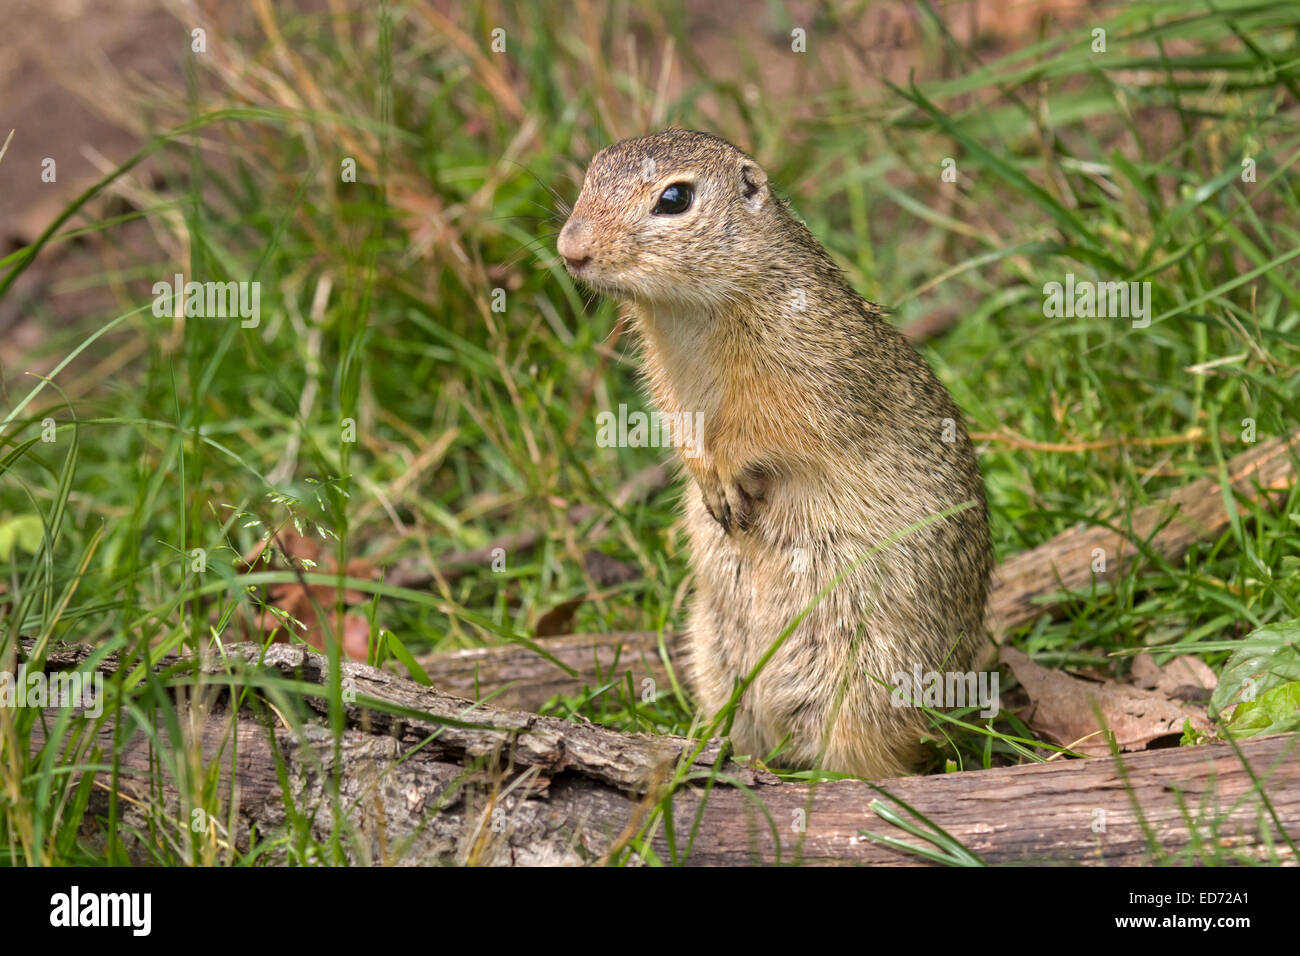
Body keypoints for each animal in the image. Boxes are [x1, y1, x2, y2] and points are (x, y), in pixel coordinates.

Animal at [553, 127, 987, 780]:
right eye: (590, 174)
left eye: (675, 198)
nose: (569, 248)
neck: (687, 314)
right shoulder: (669, 387)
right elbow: (685, 435)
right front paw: (710, 487)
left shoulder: (801, 378)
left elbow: (760, 435)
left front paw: (732, 479)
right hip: (714, 652)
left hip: (865, 679)